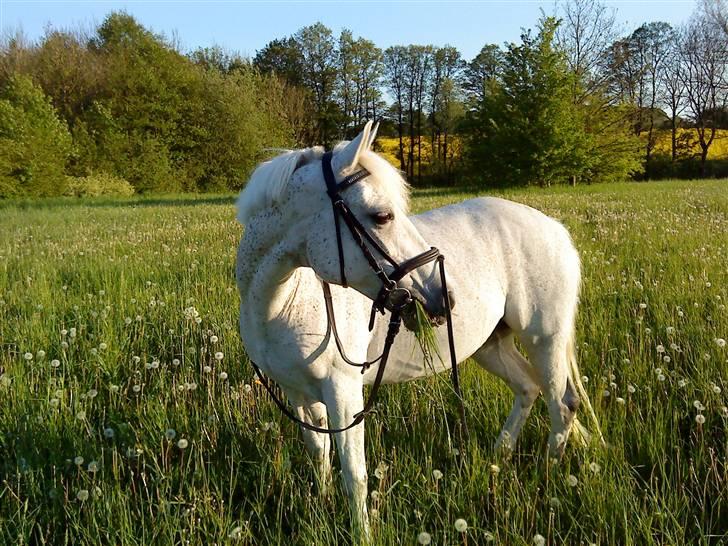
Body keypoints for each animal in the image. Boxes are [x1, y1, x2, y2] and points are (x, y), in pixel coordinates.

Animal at [236, 121, 600, 536]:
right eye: (382, 216)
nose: (444, 295)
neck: (281, 304)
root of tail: (553, 227)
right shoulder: (297, 392)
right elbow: (318, 455)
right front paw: (322, 511)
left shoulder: (343, 392)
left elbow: (354, 474)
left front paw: (362, 534)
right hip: (491, 346)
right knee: (528, 388)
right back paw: (498, 457)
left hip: (545, 339)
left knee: (562, 405)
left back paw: (547, 478)